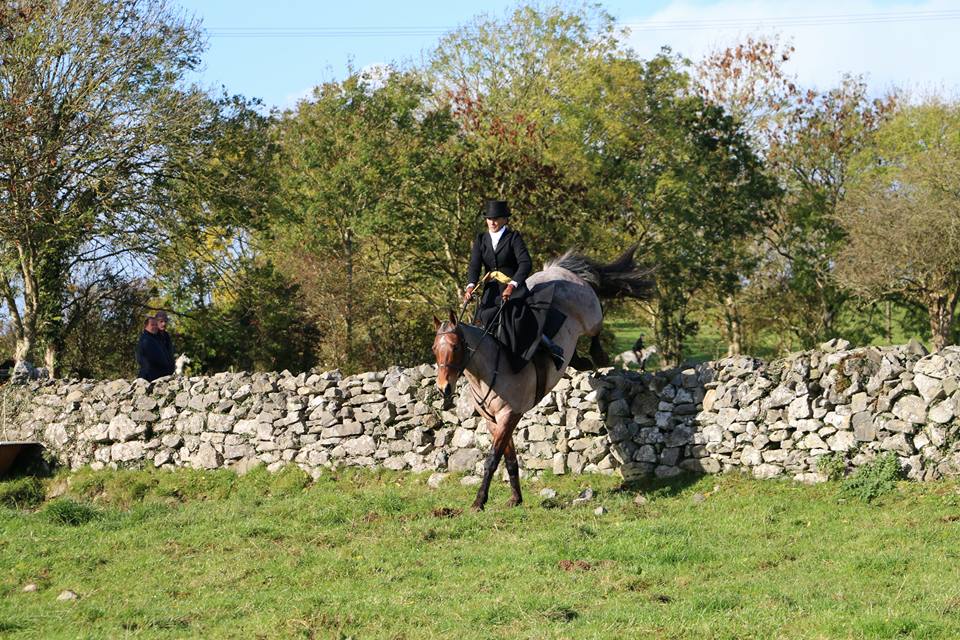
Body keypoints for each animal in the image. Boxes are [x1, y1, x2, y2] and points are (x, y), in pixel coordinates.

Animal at [434, 245, 652, 510]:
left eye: (455, 347)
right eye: (435, 349)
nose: (443, 388)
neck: (487, 370)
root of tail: (559, 270)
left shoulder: (509, 415)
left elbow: (492, 459)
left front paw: (479, 501)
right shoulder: (493, 420)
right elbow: (509, 458)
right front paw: (515, 498)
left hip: (590, 314)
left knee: (597, 326)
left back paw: (598, 356)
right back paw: (576, 359)